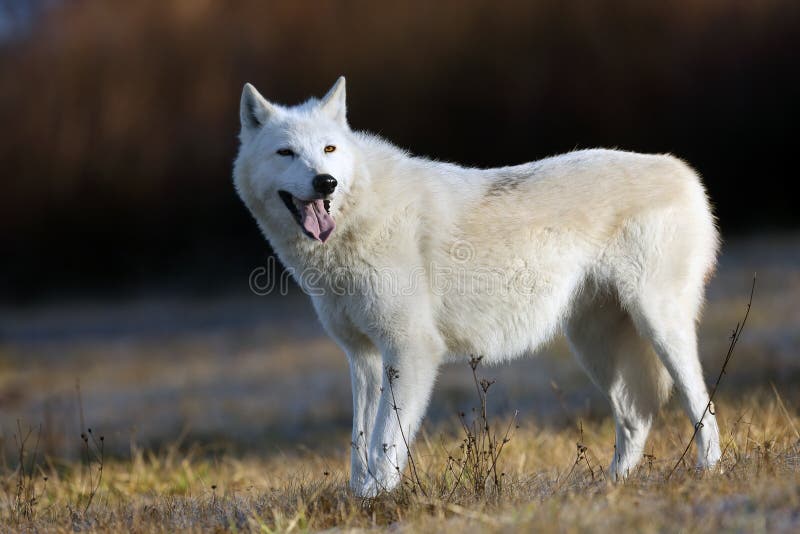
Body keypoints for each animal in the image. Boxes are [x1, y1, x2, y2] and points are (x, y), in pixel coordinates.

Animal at [234, 76, 720, 498]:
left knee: (701, 406)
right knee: (636, 418)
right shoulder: (364, 358)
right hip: (594, 346)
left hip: (659, 328)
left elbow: (385, 442)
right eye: (285, 152)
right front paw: (357, 500)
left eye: (329, 149)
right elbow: (359, 443)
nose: (326, 182)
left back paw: (708, 472)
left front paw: (377, 500)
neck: (359, 219)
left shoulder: (411, 350)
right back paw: (611, 487)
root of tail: (681, 170)